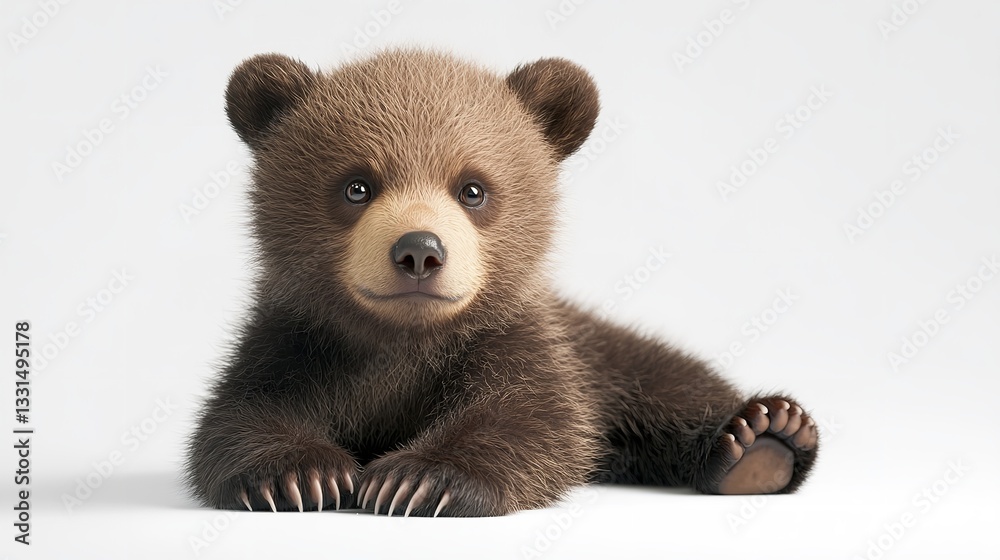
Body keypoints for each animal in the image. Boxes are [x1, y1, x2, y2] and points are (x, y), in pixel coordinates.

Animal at [185, 48, 819, 517]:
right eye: (356, 186)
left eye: (473, 188)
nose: (419, 251)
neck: (404, 338)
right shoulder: (299, 338)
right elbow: (240, 413)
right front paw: (300, 474)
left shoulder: (518, 337)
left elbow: (532, 418)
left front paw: (418, 480)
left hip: (601, 353)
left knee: (663, 378)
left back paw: (762, 438)